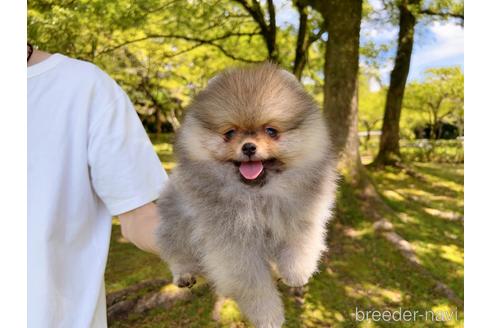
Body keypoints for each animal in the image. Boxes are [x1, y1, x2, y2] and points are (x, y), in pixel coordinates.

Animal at [158, 62, 338, 326]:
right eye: (230, 133)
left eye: (271, 131)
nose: (249, 147)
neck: (258, 196)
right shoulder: (234, 247)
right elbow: (254, 286)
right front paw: (268, 315)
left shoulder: (301, 215)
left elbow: (300, 245)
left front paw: (297, 273)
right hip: (175, 215)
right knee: (175, 248)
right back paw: (184, 273)